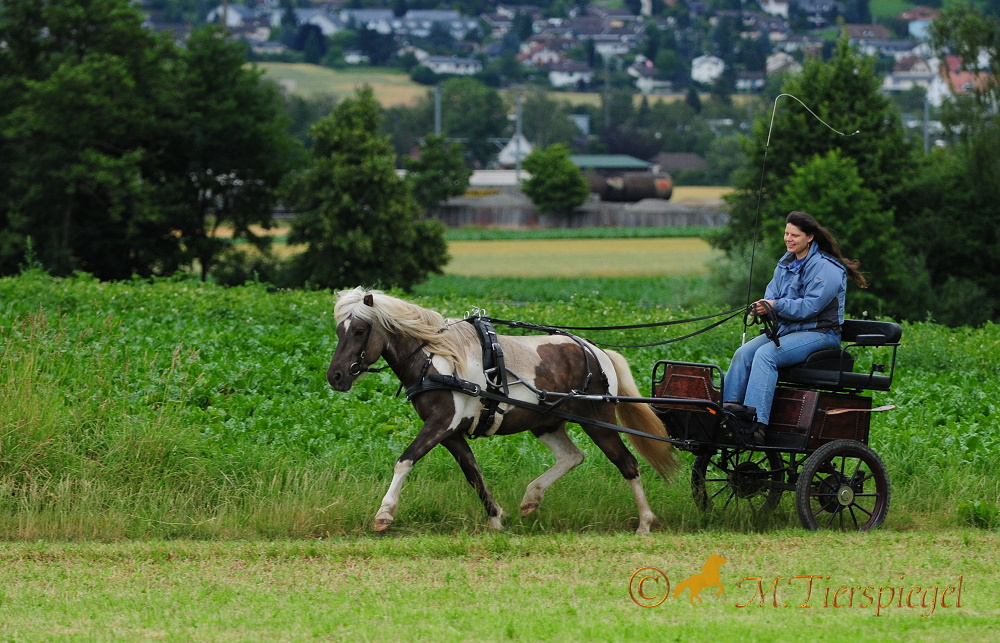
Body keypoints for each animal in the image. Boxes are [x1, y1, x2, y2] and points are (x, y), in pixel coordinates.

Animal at [328, 290, 680, 536]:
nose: (335, 376)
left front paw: (384, 514)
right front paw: (496, 518)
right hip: (547, 423)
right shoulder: (451, 432)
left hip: (599, 421)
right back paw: (531, 497)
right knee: (572, 457)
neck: (437, 359)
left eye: (359, 330)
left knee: (628, 463)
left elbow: (405, 460)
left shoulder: (441, 423)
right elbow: (472, 473)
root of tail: (597, 350)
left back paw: (645, 522)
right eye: (338, 331)